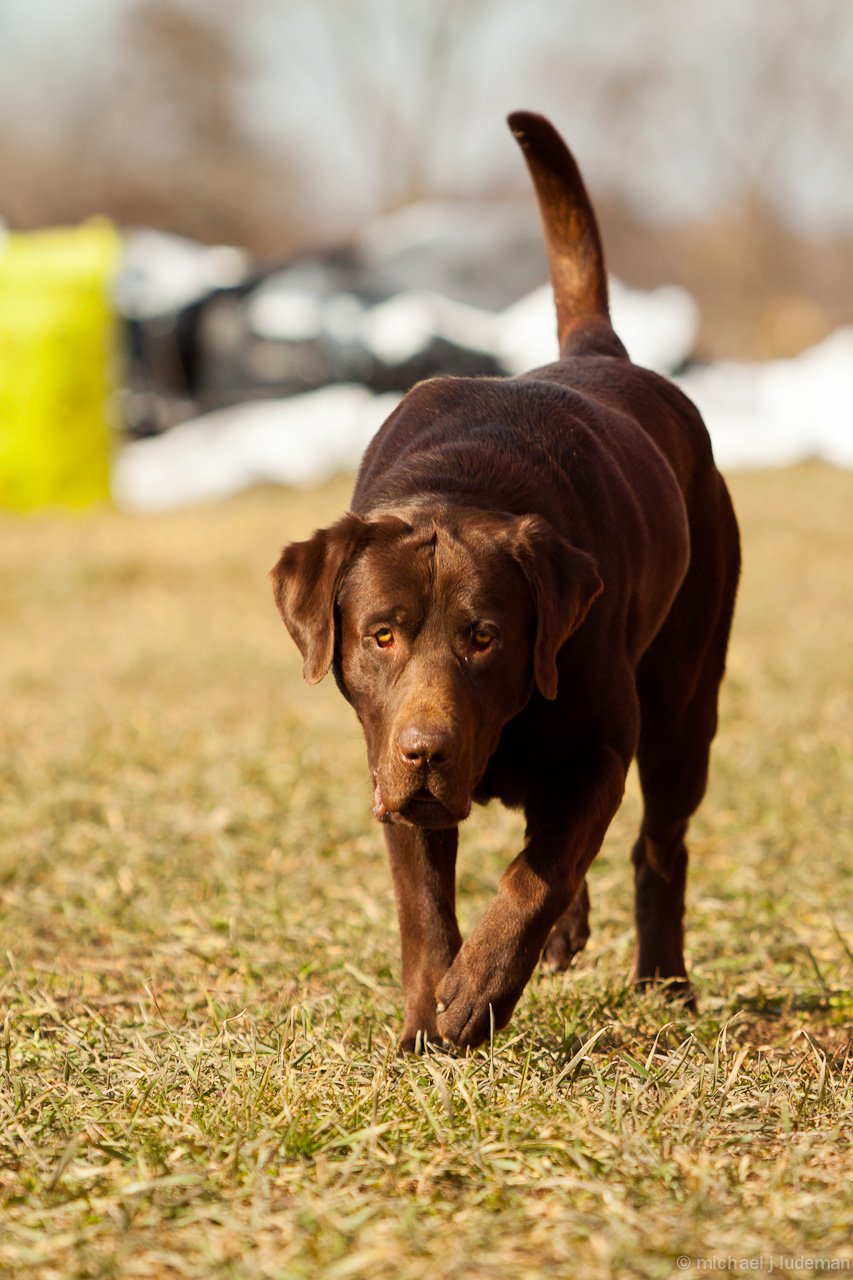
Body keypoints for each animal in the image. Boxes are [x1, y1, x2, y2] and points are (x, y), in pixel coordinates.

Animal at [271, 113, 740, 1053]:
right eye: (381, 634)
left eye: (484, 637)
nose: (426, 752)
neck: (462, 483)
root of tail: (603, 351)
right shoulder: (387, 767)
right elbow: (424, 909)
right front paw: (425, 1022)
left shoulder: (600, 745)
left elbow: (539, 873)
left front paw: (474, 993)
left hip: (683, 702)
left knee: (657, 845)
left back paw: (663, 983)